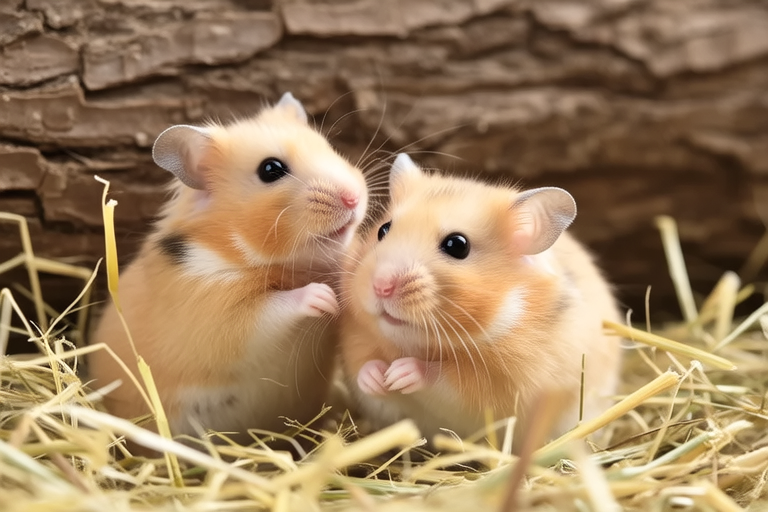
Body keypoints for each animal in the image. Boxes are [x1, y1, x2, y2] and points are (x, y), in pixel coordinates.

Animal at [88, 92, 368, 445]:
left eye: (327, 147)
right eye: (271, 169)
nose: (353, 198)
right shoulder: (219, 314)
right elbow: (274, 308)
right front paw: (325, 298)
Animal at [338, 153, 622, 450]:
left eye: (457, 245)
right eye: (383, 229)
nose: (381, 286)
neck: (416, 343)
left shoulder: (492, 385)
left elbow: (443, 379)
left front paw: (399, 373)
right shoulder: (356, 343)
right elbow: (364, 368)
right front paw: (378, 377)